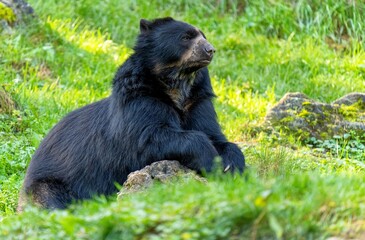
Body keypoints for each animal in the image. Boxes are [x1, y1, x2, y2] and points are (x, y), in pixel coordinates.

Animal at [17, 16, 245, 210]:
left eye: (203, 36)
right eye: (186, 37)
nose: (210, 50)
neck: (178, 86)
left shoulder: (198, 102)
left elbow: (215, 136)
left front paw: (233, 167)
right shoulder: (140, 99)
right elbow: (149, 138)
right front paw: (212, 162)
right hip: (49, 185)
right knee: (49, 200)